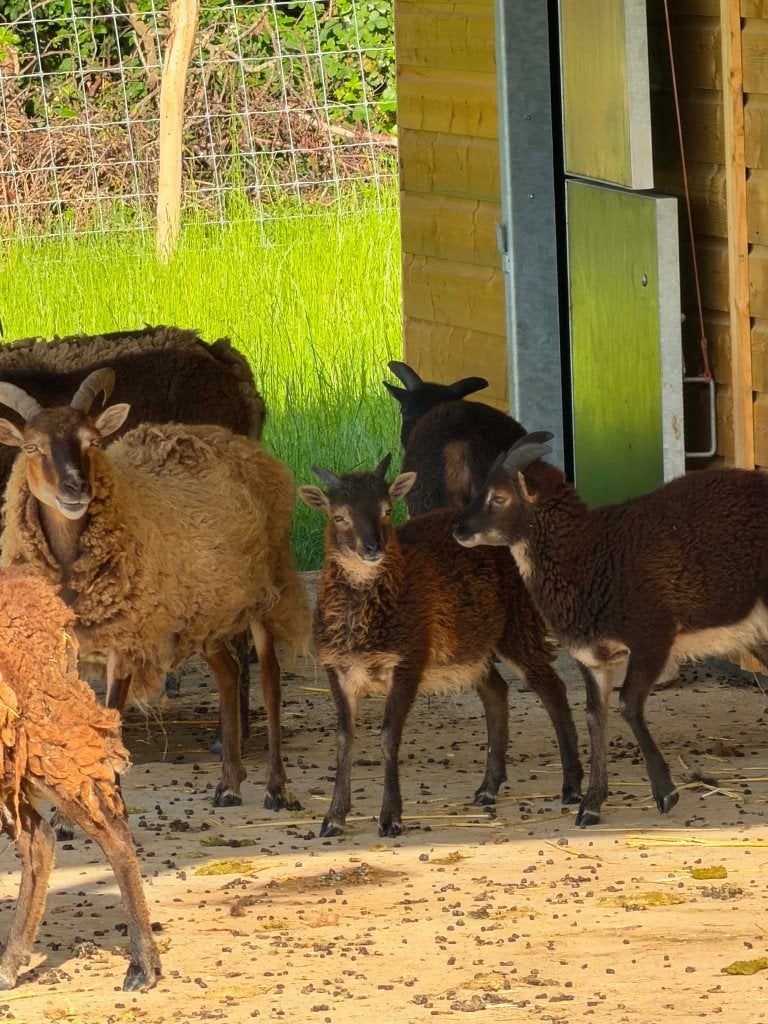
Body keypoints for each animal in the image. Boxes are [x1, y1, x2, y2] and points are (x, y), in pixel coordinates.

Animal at [0, 369, 310, 811]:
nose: (76, 489)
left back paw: (276, 788)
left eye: (92, 441)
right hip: (205, 611)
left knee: (269, 678)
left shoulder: (125, 642)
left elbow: (110, 725)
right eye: (31, 447)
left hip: (265, 591)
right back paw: (228, 784)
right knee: (228, 673)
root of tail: (237, 440)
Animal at [298, 455, 583, 837]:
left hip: (518, 623)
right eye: (338, 515)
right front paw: (332, 819)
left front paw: (390, 819)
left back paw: (572, 786)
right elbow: (344, 738)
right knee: (496, 690)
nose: (372, 547)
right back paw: (487, 788)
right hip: (472, 644)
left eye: (387, 510)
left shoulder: (409, 658)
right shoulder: (335, 668)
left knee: (551, 686)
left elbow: (389, 736)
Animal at [453, 430, 768, 827]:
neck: (590, 556)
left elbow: (628, 704)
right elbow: (594, 717)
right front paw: (590, 806)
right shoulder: (593, 658)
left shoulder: (652, 636)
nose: (458, 529)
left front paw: (666, 793)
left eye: (499, 497)